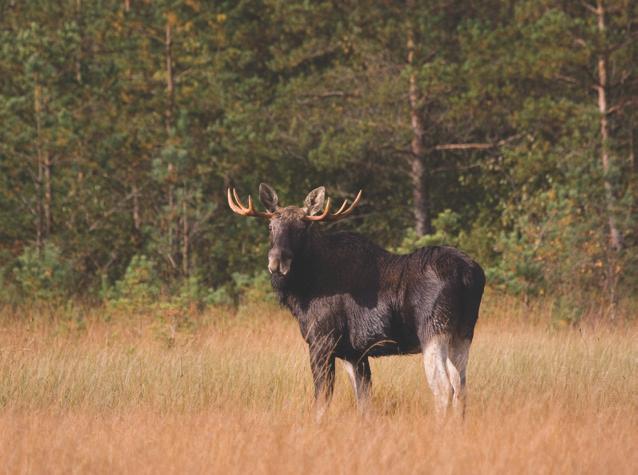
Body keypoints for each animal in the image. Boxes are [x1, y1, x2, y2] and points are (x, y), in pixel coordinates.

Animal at [228, 184, 488, 418]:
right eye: (270, 226)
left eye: (302, 228)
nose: (277, 262)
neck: (304, 290)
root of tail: (469, 274)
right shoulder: (354, 353)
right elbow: (364, 402)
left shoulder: (322, 340)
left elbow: (322, 399)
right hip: (463, 333)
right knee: (461, 388)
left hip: (433, 331)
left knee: (444, 388)